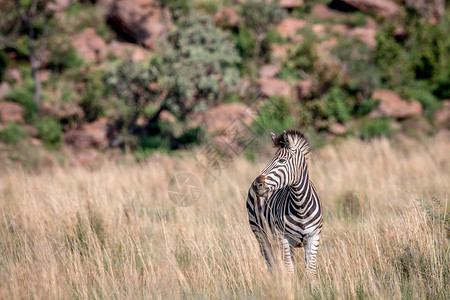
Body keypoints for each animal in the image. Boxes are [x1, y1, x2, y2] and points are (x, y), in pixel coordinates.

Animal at [246, 130, 324, 282]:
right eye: (270, 159)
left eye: (282, 161)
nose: (257, 185)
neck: (301, 206)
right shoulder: (284, 238)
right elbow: (289, 271)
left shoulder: (313, 237)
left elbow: (310, 272)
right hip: (261, 235)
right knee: (270, 265)